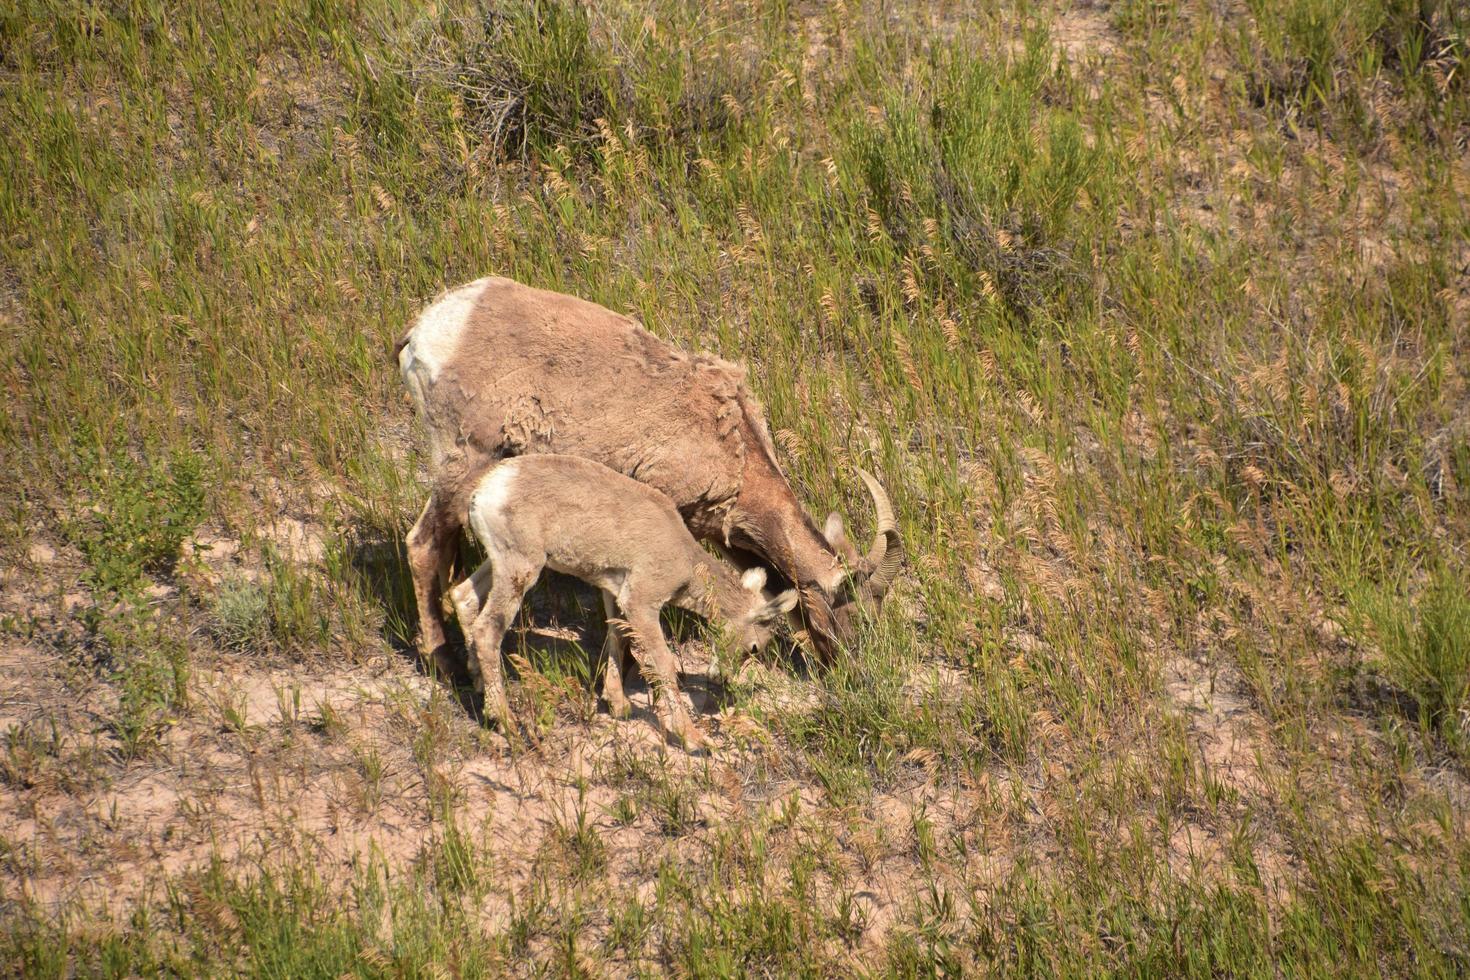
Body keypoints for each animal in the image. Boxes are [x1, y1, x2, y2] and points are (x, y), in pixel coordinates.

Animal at [393, 276, 893, 681]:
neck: (734, 452)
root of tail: (427, 327)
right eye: (854, 608)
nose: (851, 671)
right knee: (422, 545)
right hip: (464, 457)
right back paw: (445, 663)